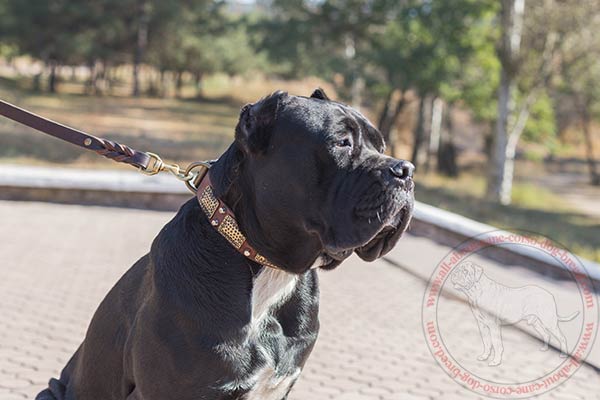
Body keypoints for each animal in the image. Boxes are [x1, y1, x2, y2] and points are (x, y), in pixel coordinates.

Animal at [452, 260, 580, 364]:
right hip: (535, 323)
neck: (476, 291)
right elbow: (487, 343)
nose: (454, 275)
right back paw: (544, 349)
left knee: (562, 337)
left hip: (549, 322)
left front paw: (495, 362)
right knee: (545, 334)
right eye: (457, 269)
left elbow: (497, 345)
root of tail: (550, 295)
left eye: (465, 271)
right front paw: (484, 357)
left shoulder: (493, 326)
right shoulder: (482, 325)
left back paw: (563, 355)